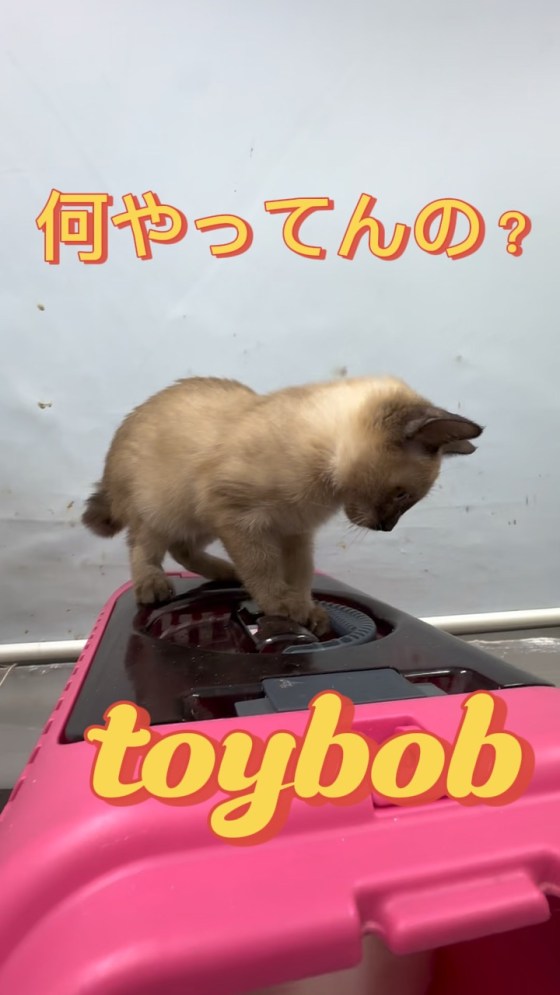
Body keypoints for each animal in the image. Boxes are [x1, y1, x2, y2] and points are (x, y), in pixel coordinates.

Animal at [82, 375, 483, 635]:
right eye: (402, 496)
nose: (388, 527)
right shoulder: (240, 519)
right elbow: (263, 569)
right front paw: (282, 607)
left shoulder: (293, 532)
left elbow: (298, 574)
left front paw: (304, 610)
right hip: (163, 512)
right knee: (143, 547)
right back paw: (154, 585)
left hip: (198, 521)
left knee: (184, 550)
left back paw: (227, 572)